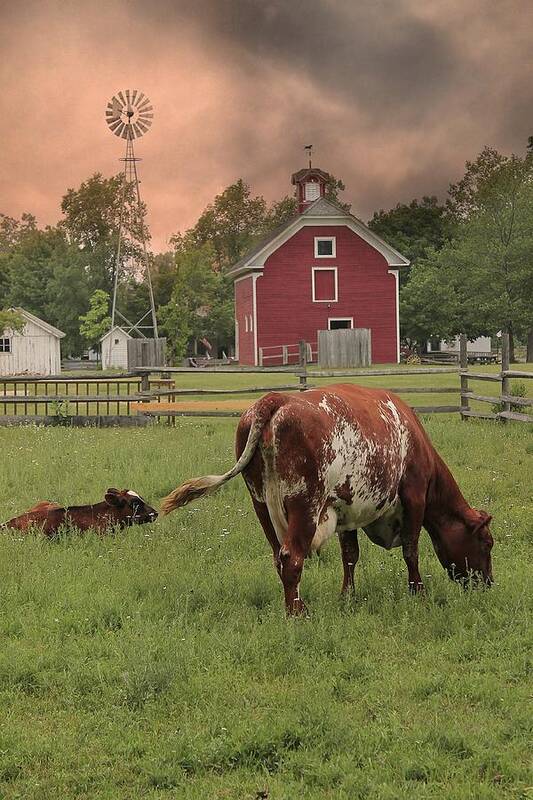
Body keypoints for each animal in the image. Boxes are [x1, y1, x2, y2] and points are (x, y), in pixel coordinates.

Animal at [160, 386, 492, 612]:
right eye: (487, 543)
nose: (488, 584)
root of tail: (276, 399)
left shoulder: (346, 510)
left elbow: (350, 555)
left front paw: (347, 596)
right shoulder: (414, 496)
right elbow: (411, 550)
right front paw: (418, 594)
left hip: (261, 504)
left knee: (277, 556)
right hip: (304, 502)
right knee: (291, 557)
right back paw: (297, 613)